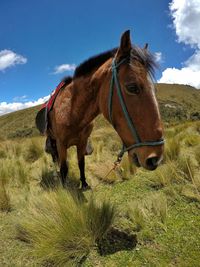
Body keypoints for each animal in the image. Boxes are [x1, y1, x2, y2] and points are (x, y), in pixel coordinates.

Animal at [42, 30, 164, 189]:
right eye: (132, 87)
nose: (156, 158)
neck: (71, 111)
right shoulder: (61, 143)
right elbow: (64, 168)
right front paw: (64, 188)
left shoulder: (82, 142)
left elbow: (81, 163)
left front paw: (84, 184)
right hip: (53, 140)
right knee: (55, 158)